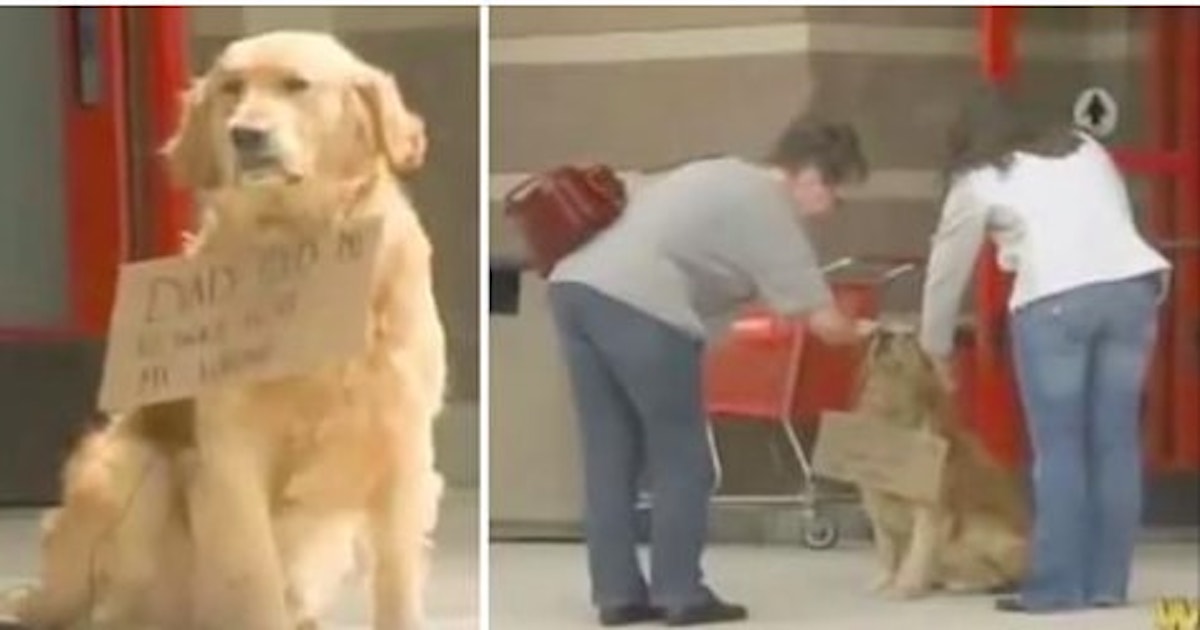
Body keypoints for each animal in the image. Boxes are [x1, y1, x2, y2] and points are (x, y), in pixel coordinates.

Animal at [0, 30, 448, 628]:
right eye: (231, 89)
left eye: (296, 85)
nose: (245, 135)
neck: (296, 244)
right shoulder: (233, 453)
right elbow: (254, 576)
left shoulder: (402, 443)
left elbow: (397, 581)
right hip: (124, 469)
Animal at [854, 324, 1032, 600]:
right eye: (877, 330)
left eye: (909, 336)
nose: (881, 333)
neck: (893, 417)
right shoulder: (876, 504)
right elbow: (886, 550)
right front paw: (884, 582)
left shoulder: (931, 512)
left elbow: (917, 552)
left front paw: (905, 586)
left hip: (975, 527)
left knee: (1000, 577)